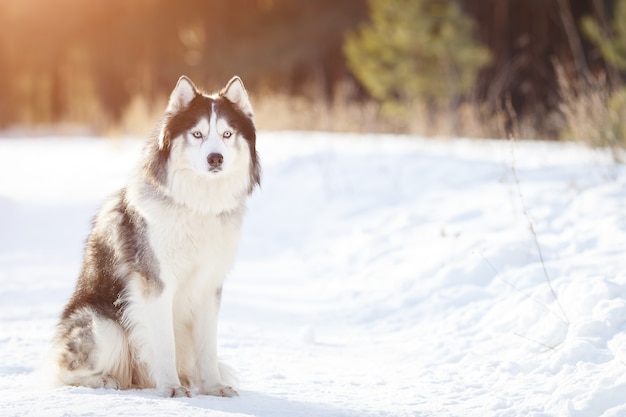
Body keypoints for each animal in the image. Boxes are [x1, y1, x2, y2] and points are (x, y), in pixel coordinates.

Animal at [51, 75, 260, 396]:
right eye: (197, 134)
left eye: (227, 134)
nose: (215, 158)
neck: (197, 205)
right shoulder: (156, 285)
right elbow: (164, 345)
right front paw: (172, 387)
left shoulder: (209, 287)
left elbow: (208, 348)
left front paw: (213, 387)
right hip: (104, 325)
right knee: (63, 373)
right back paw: (104, 380)